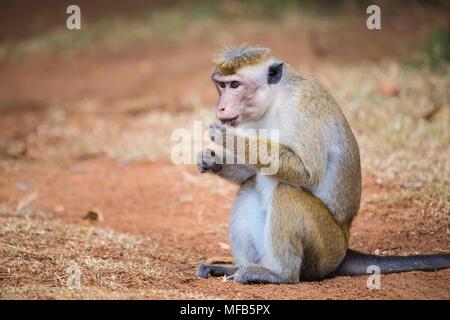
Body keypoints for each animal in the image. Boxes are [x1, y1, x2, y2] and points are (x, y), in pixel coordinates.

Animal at [194, 46, 450, 284]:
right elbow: (250, 172)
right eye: (221, 85)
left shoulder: (302, 108)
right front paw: (211, 159)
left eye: (235, 85)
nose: (221, 108)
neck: (274, 100)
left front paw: (227, 138)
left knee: (287, 192)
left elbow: (308, 173)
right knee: (248, 187)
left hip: (325, 249)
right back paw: (235, 268)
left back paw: (279, 274)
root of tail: (344, 248)